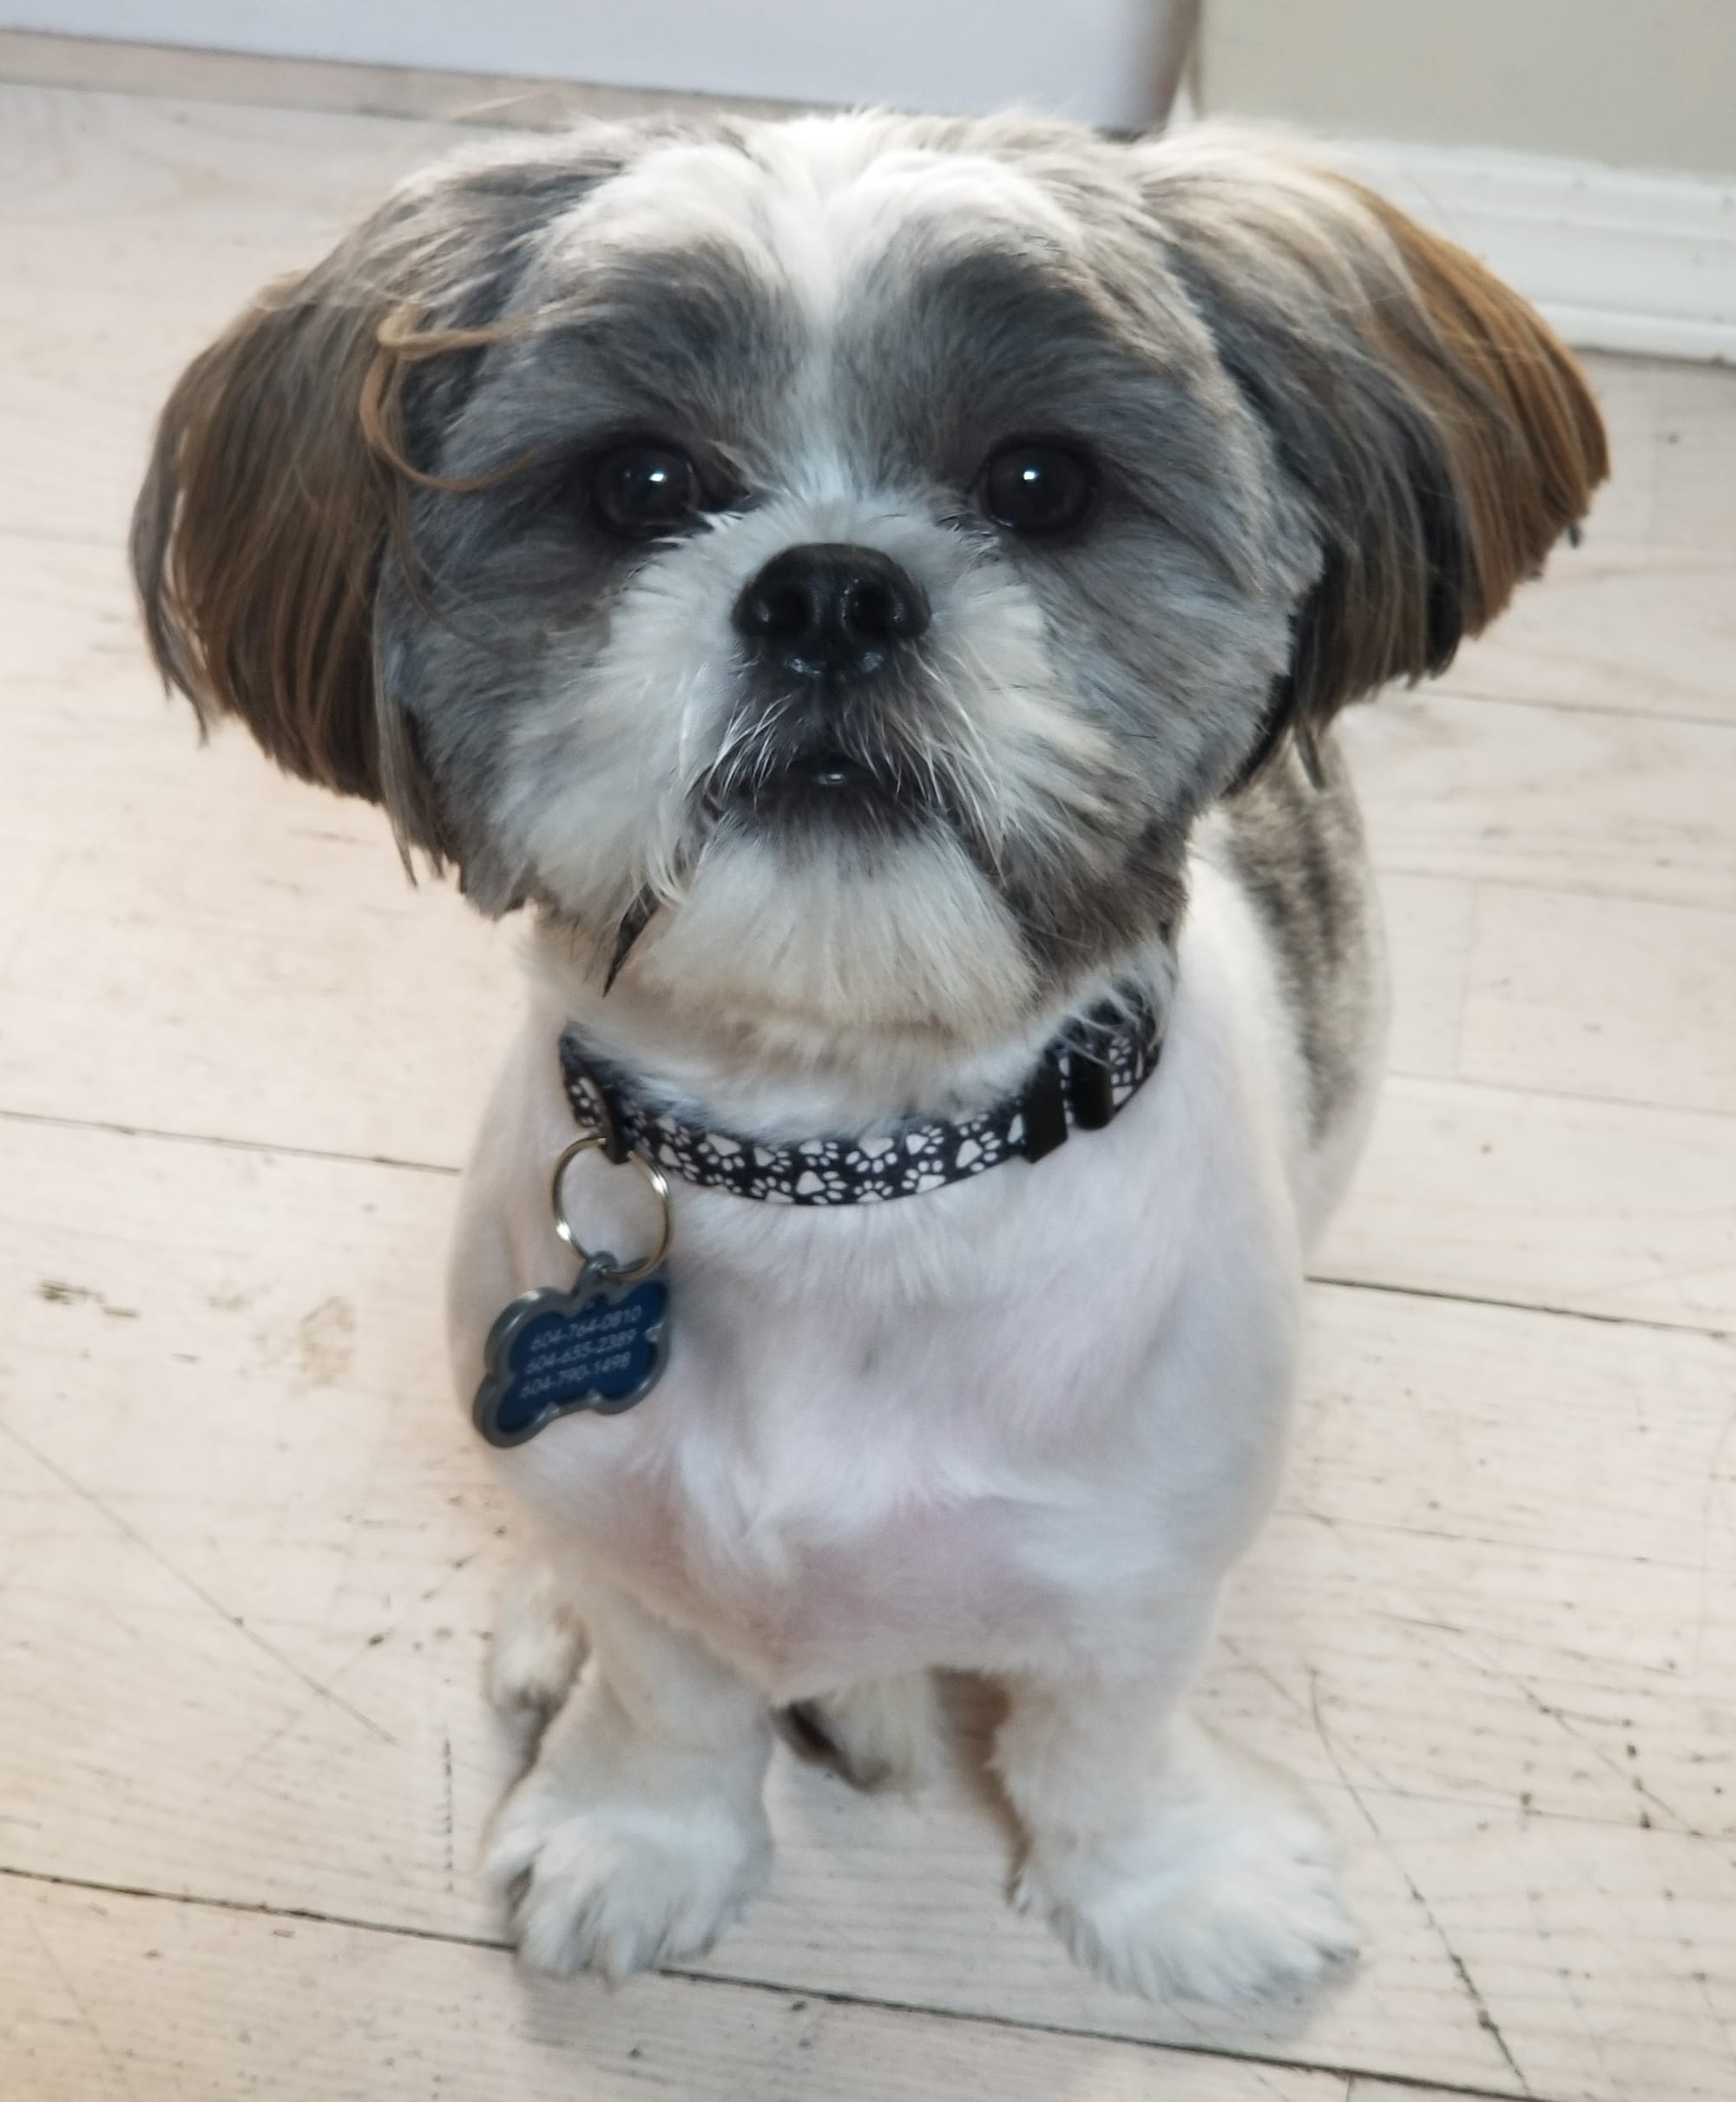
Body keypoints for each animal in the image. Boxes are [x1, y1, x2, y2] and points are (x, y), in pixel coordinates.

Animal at [132, 108, 1606, 2005]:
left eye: (1042, 482)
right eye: (638, 485)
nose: (831, 588)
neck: (846, 1158)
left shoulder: (1136, 1567)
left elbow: (1101, 1742)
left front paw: (1172, 1889)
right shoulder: (632, 1525)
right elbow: (668, 1691)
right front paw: (638, 1835)